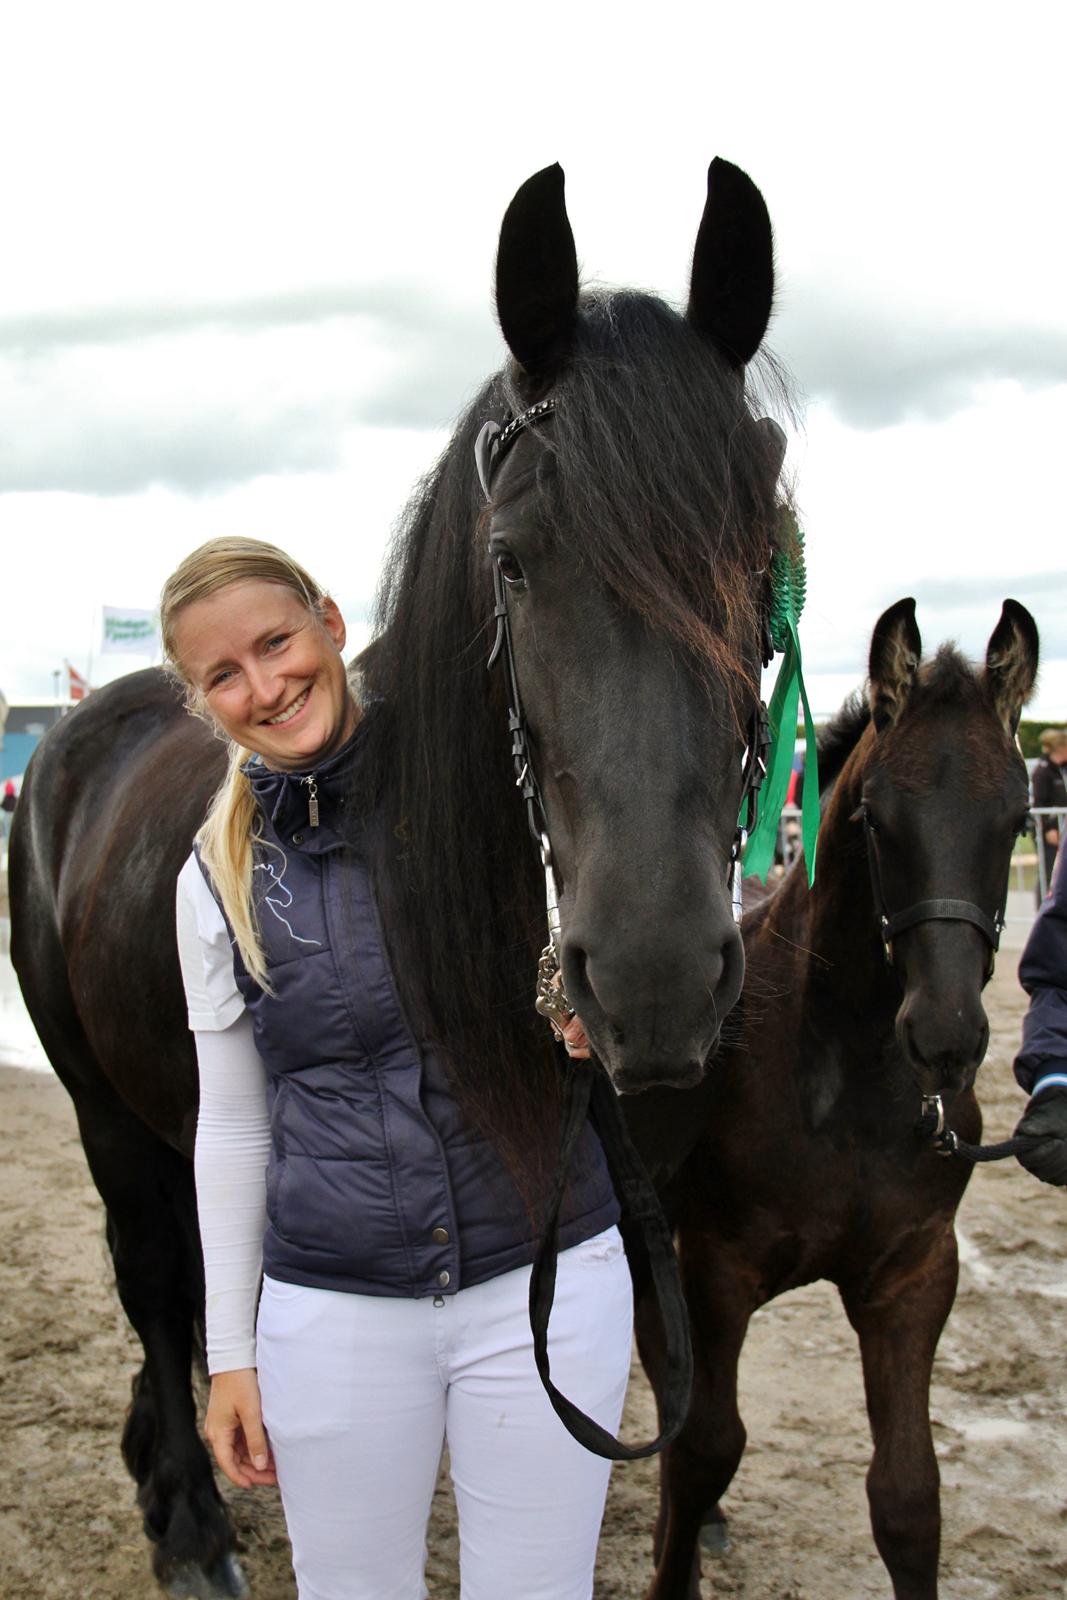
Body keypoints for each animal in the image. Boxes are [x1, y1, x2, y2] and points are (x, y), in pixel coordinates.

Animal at [10, 159, 793, 1587]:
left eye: (762, 554)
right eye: (511, 558)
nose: (650, 979)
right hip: (104, 1110)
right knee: (153, 1277)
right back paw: (188, 1516)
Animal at [639, 601, 1036, 1600]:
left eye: (1017, 816)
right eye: (873, 818)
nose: (945, 1036)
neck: (848, 1080)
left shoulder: (913, 1276)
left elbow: (907, 1497)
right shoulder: (718, 1263)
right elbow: (706, 1448)